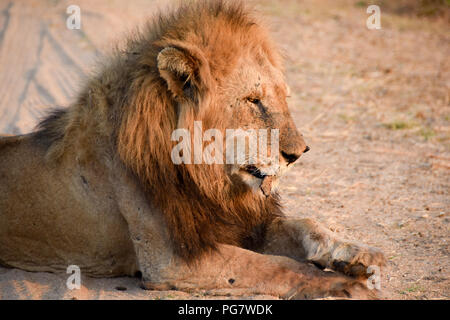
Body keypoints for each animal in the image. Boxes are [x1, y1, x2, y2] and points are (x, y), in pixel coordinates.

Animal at [0, 0, 384, 300]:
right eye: (253, 100)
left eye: (282, 97)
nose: (299, 152)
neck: (211, 181)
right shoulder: (172, 260)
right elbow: (272, 266)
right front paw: (343, 285)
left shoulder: (242, 226)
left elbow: (306, 225)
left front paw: (356, 255)